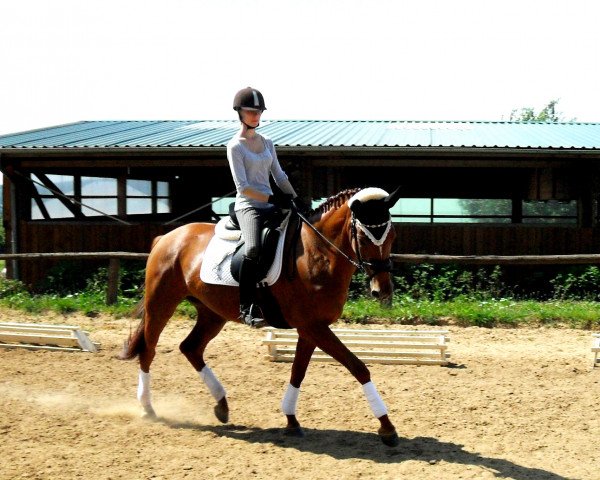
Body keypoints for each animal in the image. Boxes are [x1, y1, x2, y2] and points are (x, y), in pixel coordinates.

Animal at [119, 187, 400, 446]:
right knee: (149, 350)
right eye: (363, 236)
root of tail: (166, 237)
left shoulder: (310, 329)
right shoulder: (314, 327)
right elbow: (358, 367)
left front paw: (291, 420)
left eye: (391, 234)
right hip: (161, 304)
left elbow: (298, 372)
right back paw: (148, 408)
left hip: (212, 313)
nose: (382, 291)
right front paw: (387, 428)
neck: (318, 252)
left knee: (190, 347)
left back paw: (222, 405)